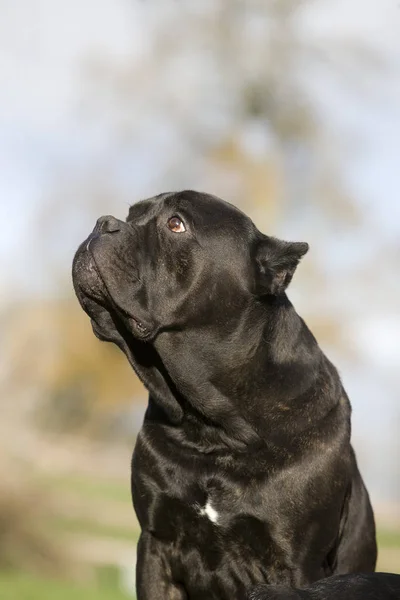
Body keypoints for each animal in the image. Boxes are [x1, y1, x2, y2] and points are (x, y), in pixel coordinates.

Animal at [72, 189, 378, 600]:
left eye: (176, 224)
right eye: (131, 214)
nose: (103, 223)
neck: (216, 431)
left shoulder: (296, 565)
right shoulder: (156, 545)